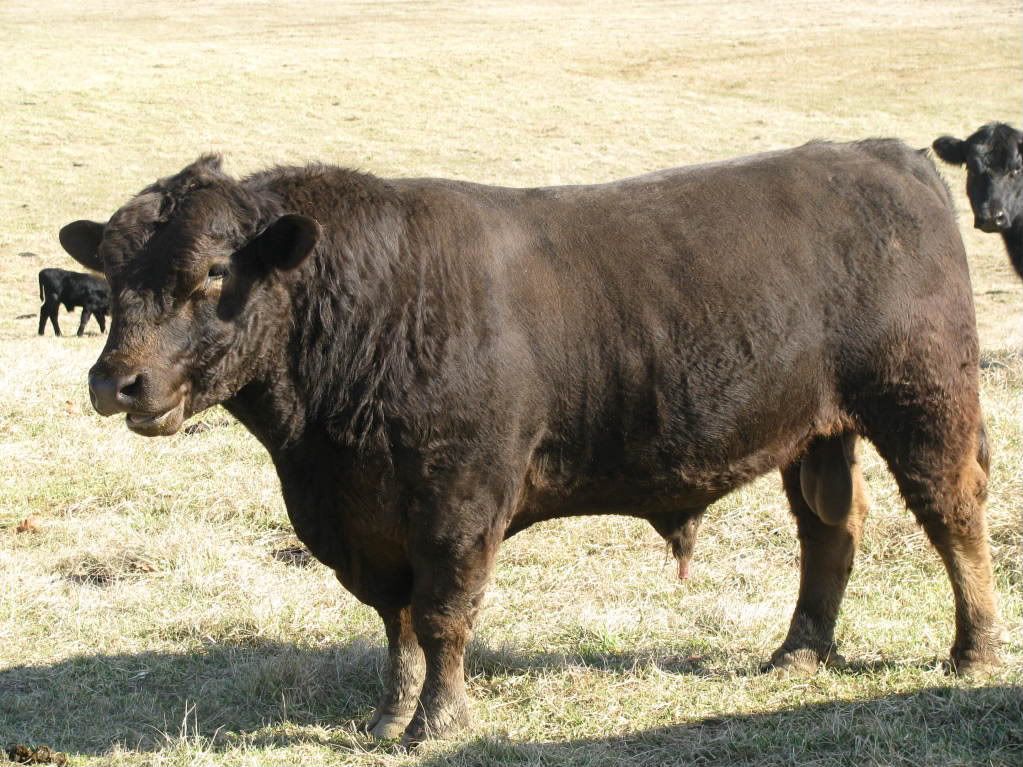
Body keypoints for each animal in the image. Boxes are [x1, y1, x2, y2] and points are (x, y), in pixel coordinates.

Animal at [59, 144, 999, 745]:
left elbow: (443, 612)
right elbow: (396, 620)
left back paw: (973, 650)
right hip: (818, 431)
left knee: (952, 514)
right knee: (828, 532)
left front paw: (437, 721)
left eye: (213, 272)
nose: (116, 382)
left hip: (923, 402)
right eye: (109, 273)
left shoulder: (458, 498)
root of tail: (881, 153)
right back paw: (799, 651)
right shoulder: (364, 521)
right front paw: (386, 714)